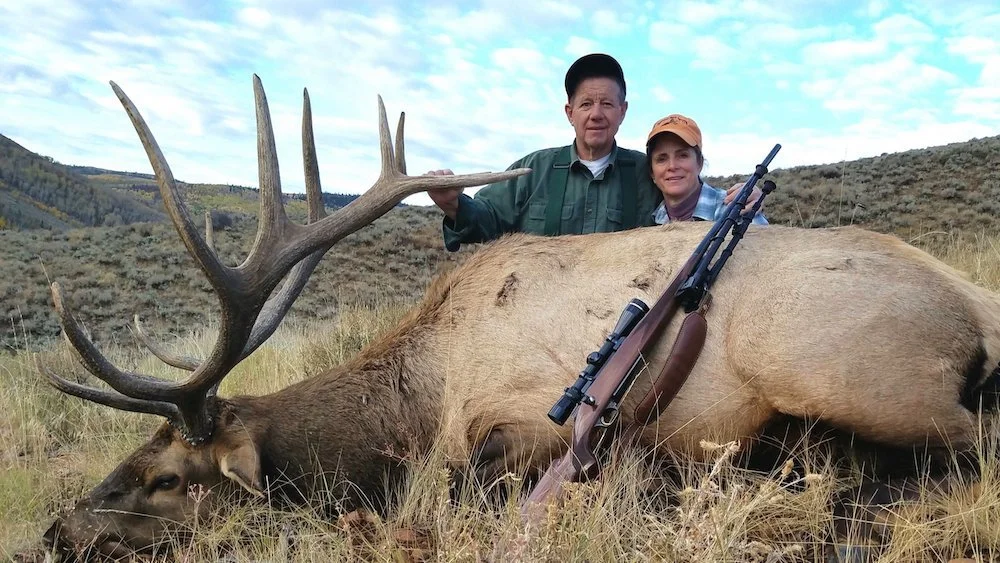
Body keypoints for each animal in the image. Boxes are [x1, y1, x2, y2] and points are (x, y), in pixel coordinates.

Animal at [40, 76, 1000, 560]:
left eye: (168, 477)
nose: (57, 529)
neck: (419, 393)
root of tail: (978, 301)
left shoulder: (520, 424)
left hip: (843, 368)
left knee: (967, 444)